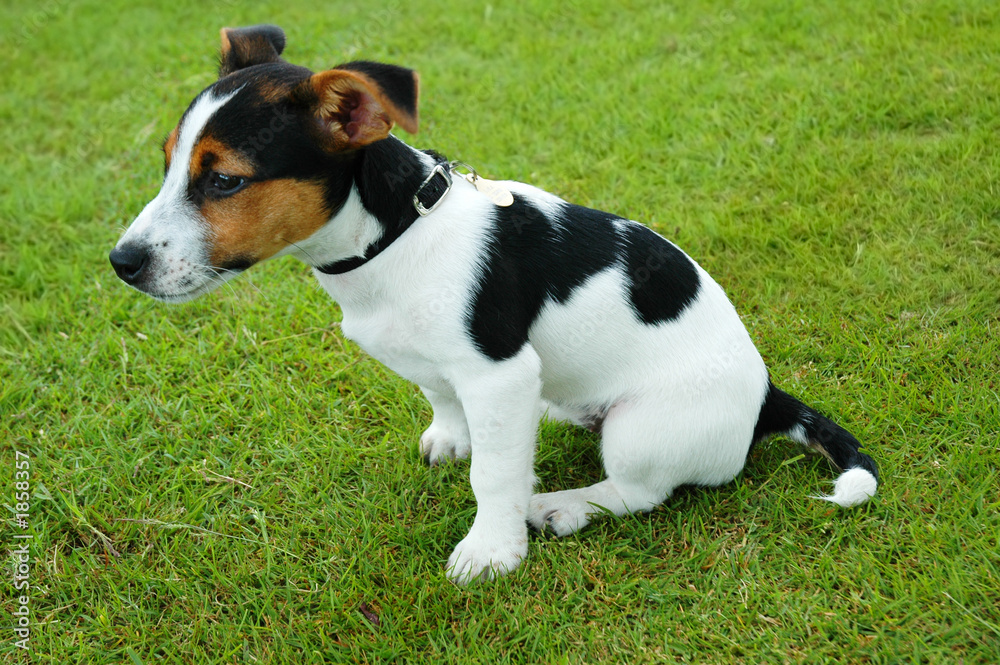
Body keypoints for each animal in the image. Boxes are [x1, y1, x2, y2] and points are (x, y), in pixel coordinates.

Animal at [105, 24, 880, 580]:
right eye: (167, 164)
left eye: (225, 181)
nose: (121, 263)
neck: (393, 235)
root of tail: (766, 397)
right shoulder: (446, 367)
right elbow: (442, 399)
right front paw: (453, 436)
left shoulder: (499, 373)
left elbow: (495, 474)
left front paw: (492, 548)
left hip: (643, 427)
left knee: (640, 492)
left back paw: (560, 507)